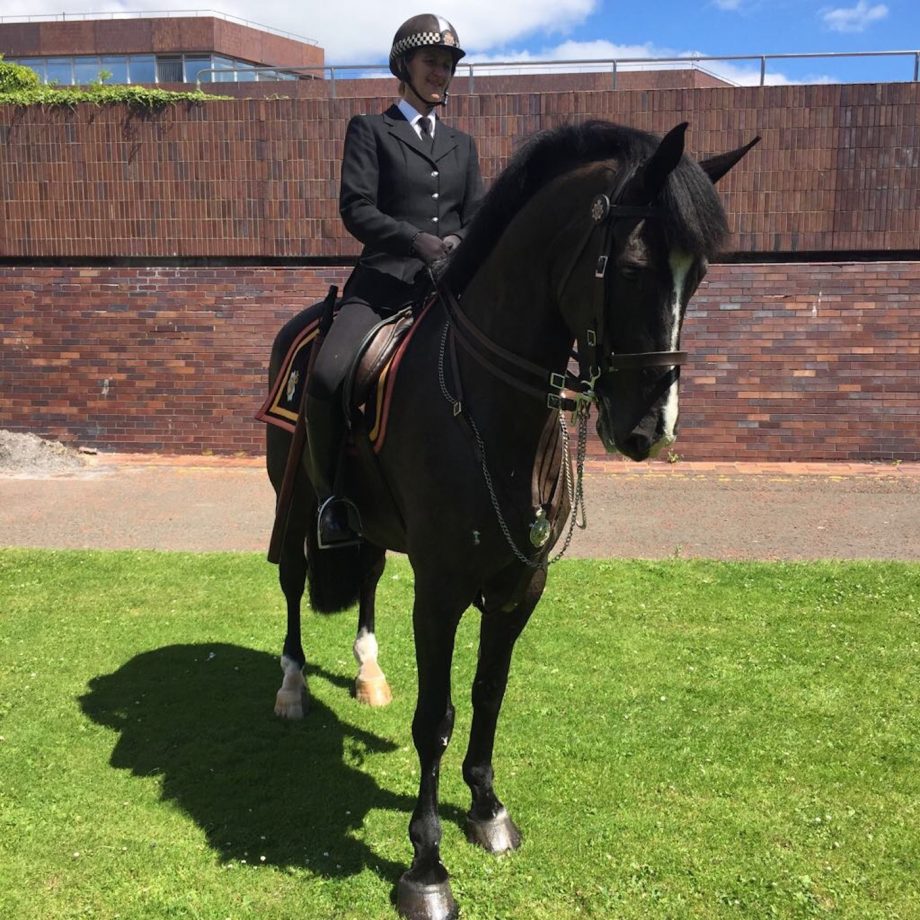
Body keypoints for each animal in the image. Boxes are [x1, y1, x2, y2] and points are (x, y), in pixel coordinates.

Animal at [264, 122, 756, 920]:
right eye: (633, 269)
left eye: (702, 275)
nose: (651, 429)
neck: (488, 406)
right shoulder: (439, 588)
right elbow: (435, 718)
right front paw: (426, 865)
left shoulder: (520, 584)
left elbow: (488, 693)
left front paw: (488, 810)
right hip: (297, 498)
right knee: (292, 579)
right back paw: (291, 685)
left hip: (368, 526)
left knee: (365, 576)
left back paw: (369, 675)